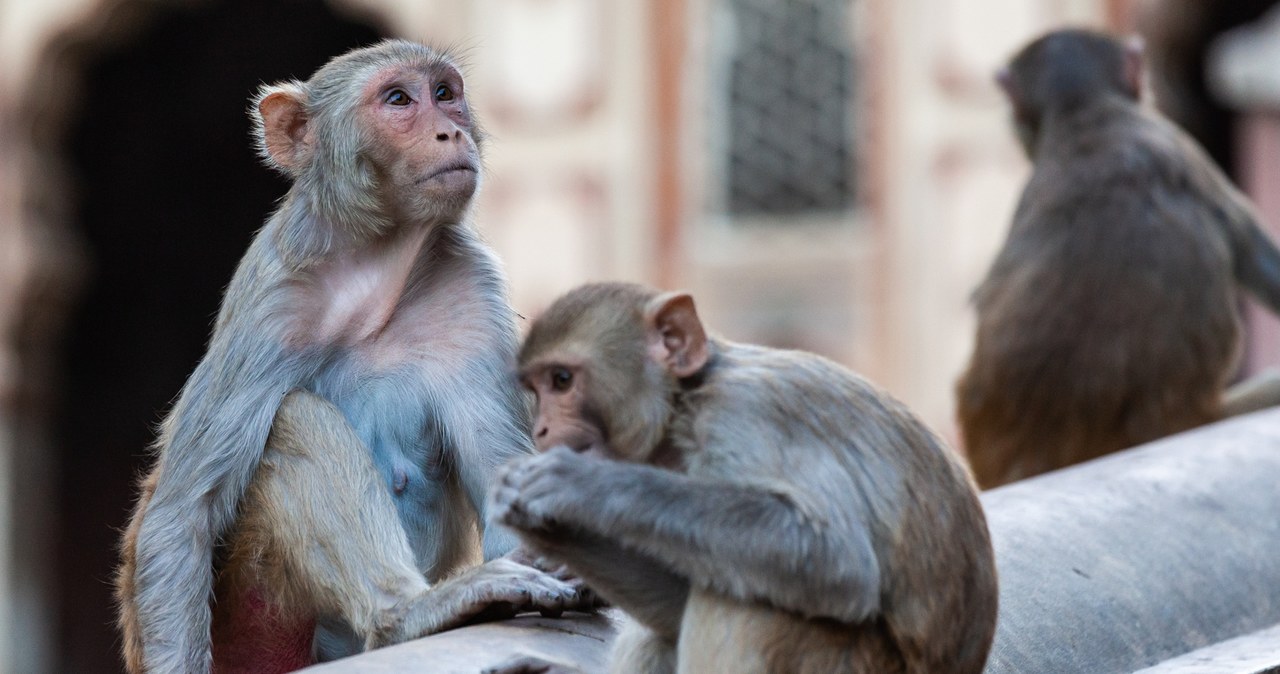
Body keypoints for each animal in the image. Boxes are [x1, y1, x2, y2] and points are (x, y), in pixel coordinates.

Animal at [115, 42, 593, 674]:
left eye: (445, 93)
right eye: (398, 100)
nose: (449, 130)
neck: (372, 268)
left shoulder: (472, 287)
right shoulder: (269, 304)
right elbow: (181, 516)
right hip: (256, 620)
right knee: (292, 420)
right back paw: (406, 614)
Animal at [483, 283, 993, 674]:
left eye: (562, 380)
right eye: (536, 389)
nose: (540, 430)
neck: (686, 404)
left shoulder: (746, 417)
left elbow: (837, 558)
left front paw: (576, 487)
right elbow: (681, 603)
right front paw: (545, 533)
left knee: (758, 604)